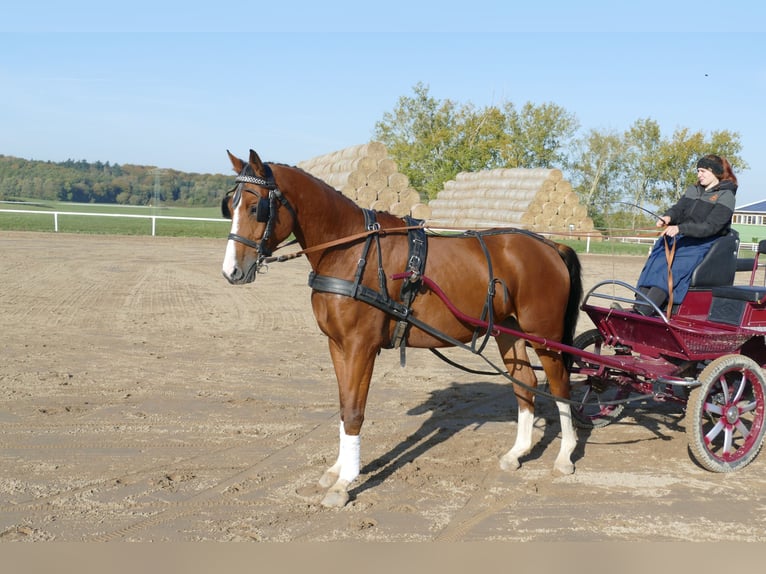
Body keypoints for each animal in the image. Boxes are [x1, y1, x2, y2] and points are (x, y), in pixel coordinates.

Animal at [220, 148, 584, 508]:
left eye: (255, 207)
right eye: (230, 206)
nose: (231, 272)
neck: (351, 251)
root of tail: (550, 246)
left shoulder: (361, 346)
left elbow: (354, 411)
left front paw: (345, 483)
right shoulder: (337, 345)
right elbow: (343, 406)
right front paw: (336, 469)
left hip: (545, 337)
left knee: (559, 386)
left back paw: (565, 456)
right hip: (509, 331)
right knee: (526, 384)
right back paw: (517, 452)